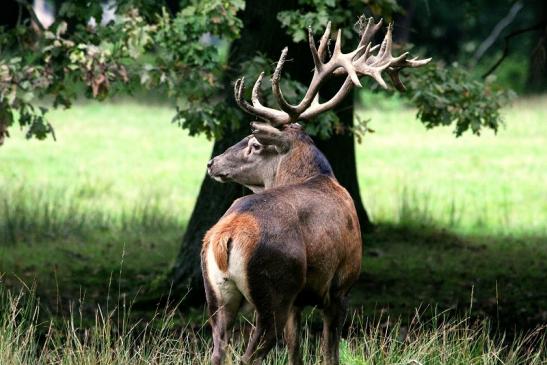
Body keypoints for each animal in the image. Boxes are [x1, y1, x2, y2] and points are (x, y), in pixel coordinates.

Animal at [201, 14, 432, 364]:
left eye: (254, 144)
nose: (212, 163)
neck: (316, 175)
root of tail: (224, 236)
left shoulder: (299, 302)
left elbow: (296, 350)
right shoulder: (339, 287)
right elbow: (329, 352)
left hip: (217, 297)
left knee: (218, 351)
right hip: (274, 289)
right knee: (248, 355)